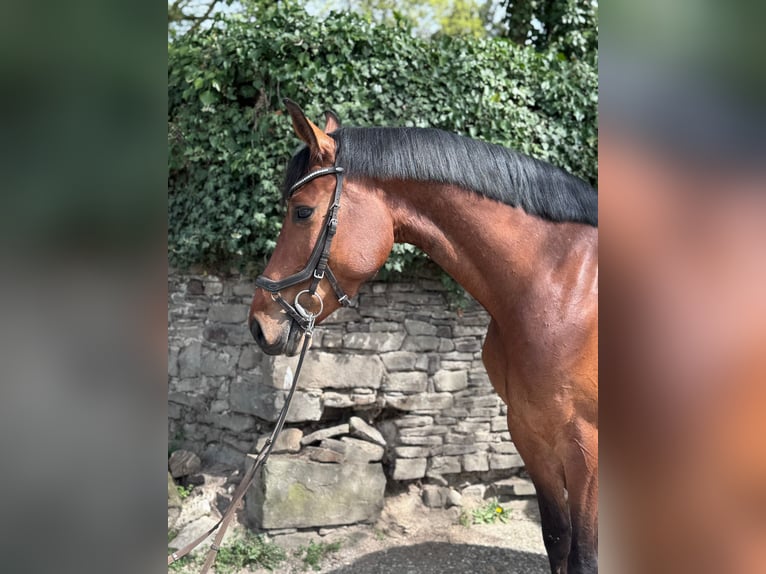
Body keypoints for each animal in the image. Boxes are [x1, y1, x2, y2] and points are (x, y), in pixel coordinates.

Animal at [249, 99, 599, 574]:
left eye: (301, 211)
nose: (258, 323)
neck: (560, 289)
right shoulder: (530, 434)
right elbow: (557, 538)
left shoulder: (586, 449)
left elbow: (584, 557)